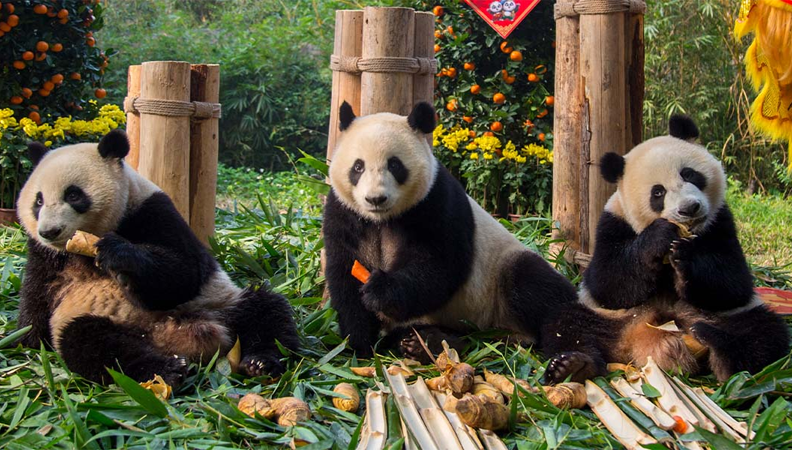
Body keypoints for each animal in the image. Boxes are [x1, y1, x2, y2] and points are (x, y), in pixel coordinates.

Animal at [15, 130, 299, 386]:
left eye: (73, 195)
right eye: (38, 201)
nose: (49, 231)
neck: (78, 250)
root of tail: (172, 336)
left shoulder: (151, 210)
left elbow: (184, 274)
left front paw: (118, 256)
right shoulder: (44, 255)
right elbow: (36, 297)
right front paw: (27, 341)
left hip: (221, 305)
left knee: (266, 311)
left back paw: (260, 362)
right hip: (104, 321)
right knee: (92, 343)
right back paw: (165, 370)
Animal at [323, 101, 578, 361]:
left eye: (394, 165)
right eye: (358, 167)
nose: (375, 199)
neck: (382, 219)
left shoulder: (436, 201)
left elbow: (439, 265)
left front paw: (380, 291)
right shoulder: (343, 213)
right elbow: (345, 273)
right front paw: (358, 344)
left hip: (500, 274)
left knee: (540, 288)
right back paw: (427, 342)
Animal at [542, 115, 790, 384]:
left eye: (689, 174)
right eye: (658, 192)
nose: (689, 208)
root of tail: (643, 339)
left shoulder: (720, 222)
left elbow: (734, 283)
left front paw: (685, 259)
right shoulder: (612, 223)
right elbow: (608, 283)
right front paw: (658, 238)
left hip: (726, 317)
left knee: (764, 332)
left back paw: (720, 351)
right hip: (609, 317)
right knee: (567, 323)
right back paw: (574, 365)